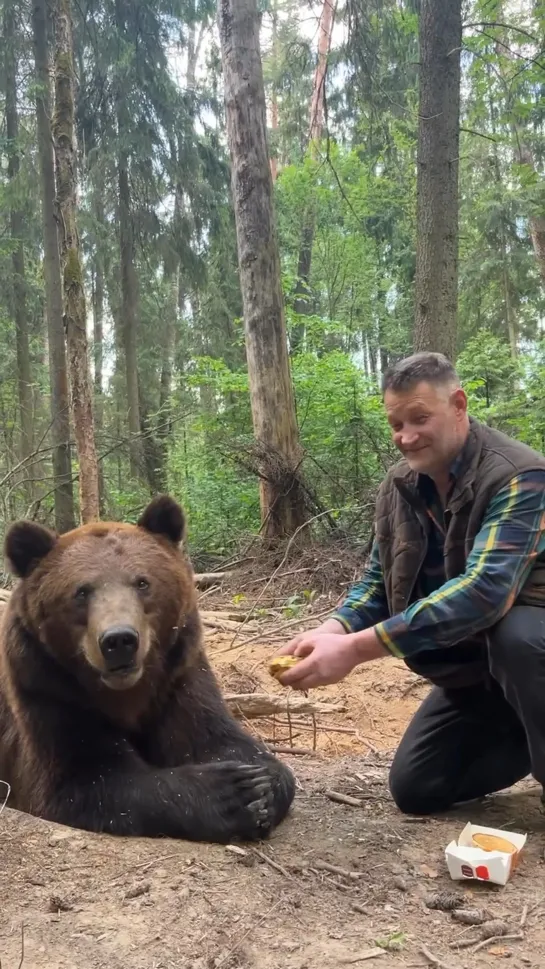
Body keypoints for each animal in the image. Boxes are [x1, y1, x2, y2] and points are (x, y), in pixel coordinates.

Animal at [0, 500, 294, 840]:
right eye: (81, 591)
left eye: (142, 582)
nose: (119, 640)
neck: (127, 694)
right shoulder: (47, 689)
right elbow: (85, 779)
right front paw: (232, 792)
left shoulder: (177, 679)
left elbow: (221, 740)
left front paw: (262, 786)